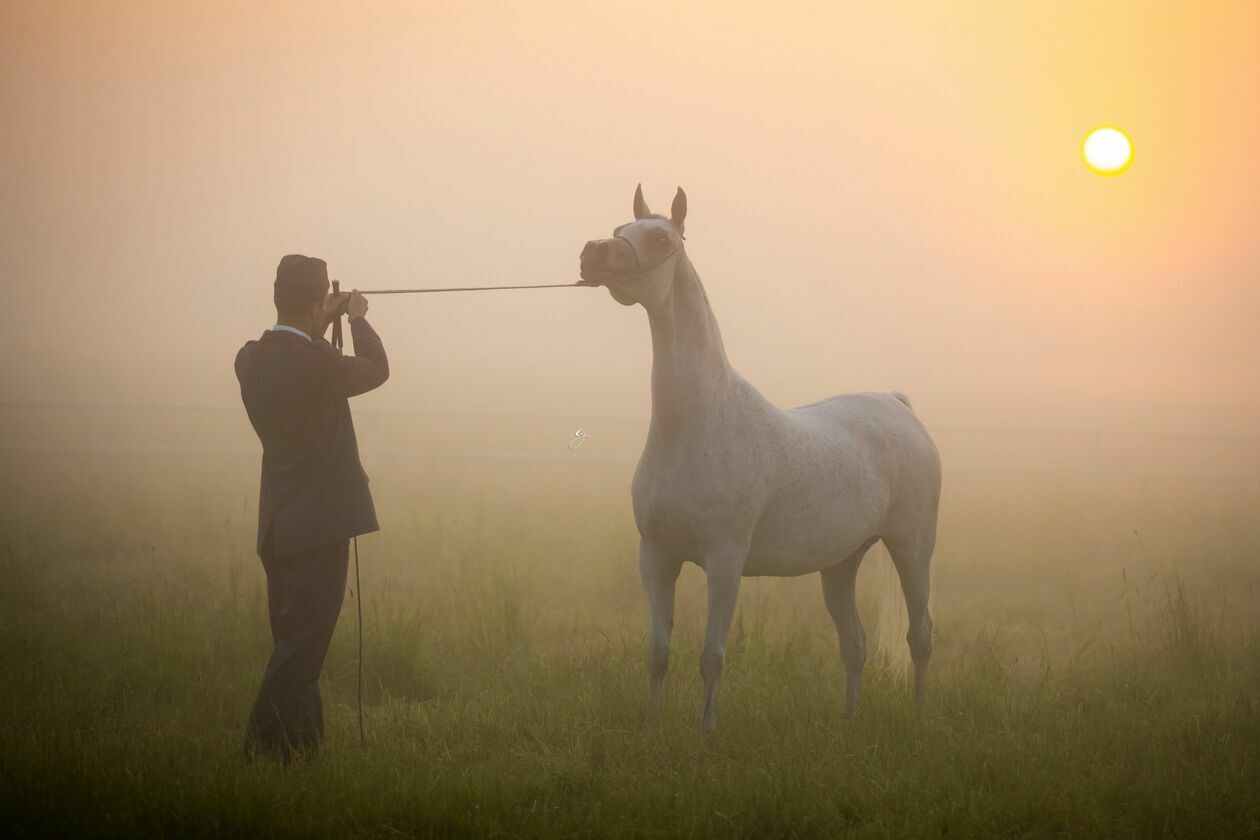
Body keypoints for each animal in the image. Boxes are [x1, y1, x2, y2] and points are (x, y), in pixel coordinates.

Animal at [577, 183, 942, 730]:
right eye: (622, 230)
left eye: (661, 239)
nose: (594, 254)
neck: (696, 427)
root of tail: (897, 404)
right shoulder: (656, 558)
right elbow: (658, 654)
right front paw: (652, 728)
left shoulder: (724, 561)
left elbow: (711, 657)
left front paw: (706, 734)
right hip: (841, 562)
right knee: (854, 643)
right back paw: (849, 721)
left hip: (912, 549)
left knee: (920, 638)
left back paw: (920, 716)